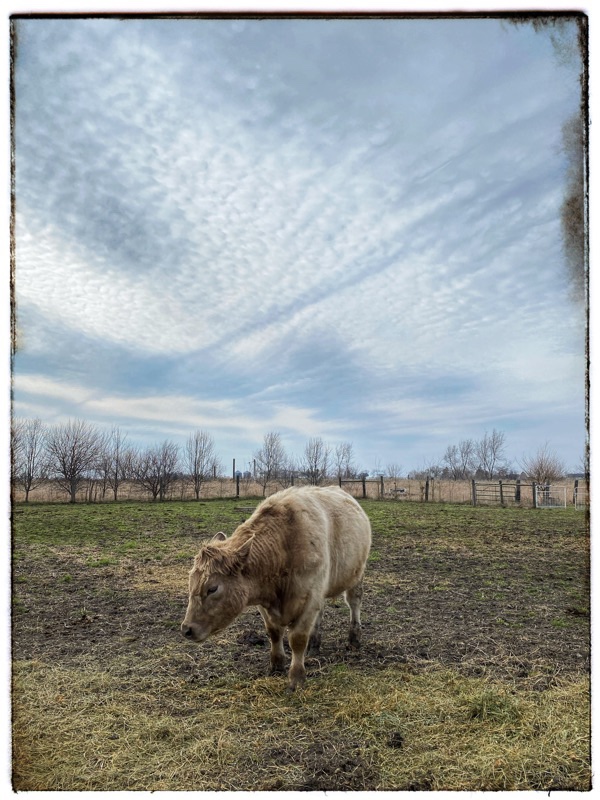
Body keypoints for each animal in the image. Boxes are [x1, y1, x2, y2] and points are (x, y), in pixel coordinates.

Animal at [181, 485, 372, 690]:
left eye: (213, 588)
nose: (186, 629)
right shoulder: (264, 600)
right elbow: (274, 632)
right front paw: (277, 664)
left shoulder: (309, 598)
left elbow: (297, 639)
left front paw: (296, 678)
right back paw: (314, 644)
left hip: (357, 575)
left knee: (354, 603)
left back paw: (354, 639)